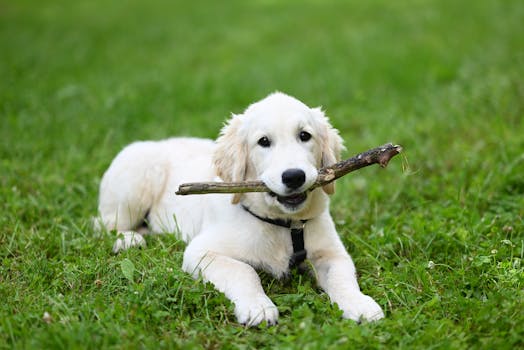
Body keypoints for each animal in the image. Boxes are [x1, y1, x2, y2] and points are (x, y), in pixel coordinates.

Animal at [96, 92, 384, 326]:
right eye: (263, 141)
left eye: (305, 136)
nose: (294, 176)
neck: (283, 223)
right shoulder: (201, 252)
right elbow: (244, 271)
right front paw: (259, 307)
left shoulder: (332, 253)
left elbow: (342, 277)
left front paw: (360, 304)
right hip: (135, 181)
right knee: (104, 223)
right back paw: (129, 239)